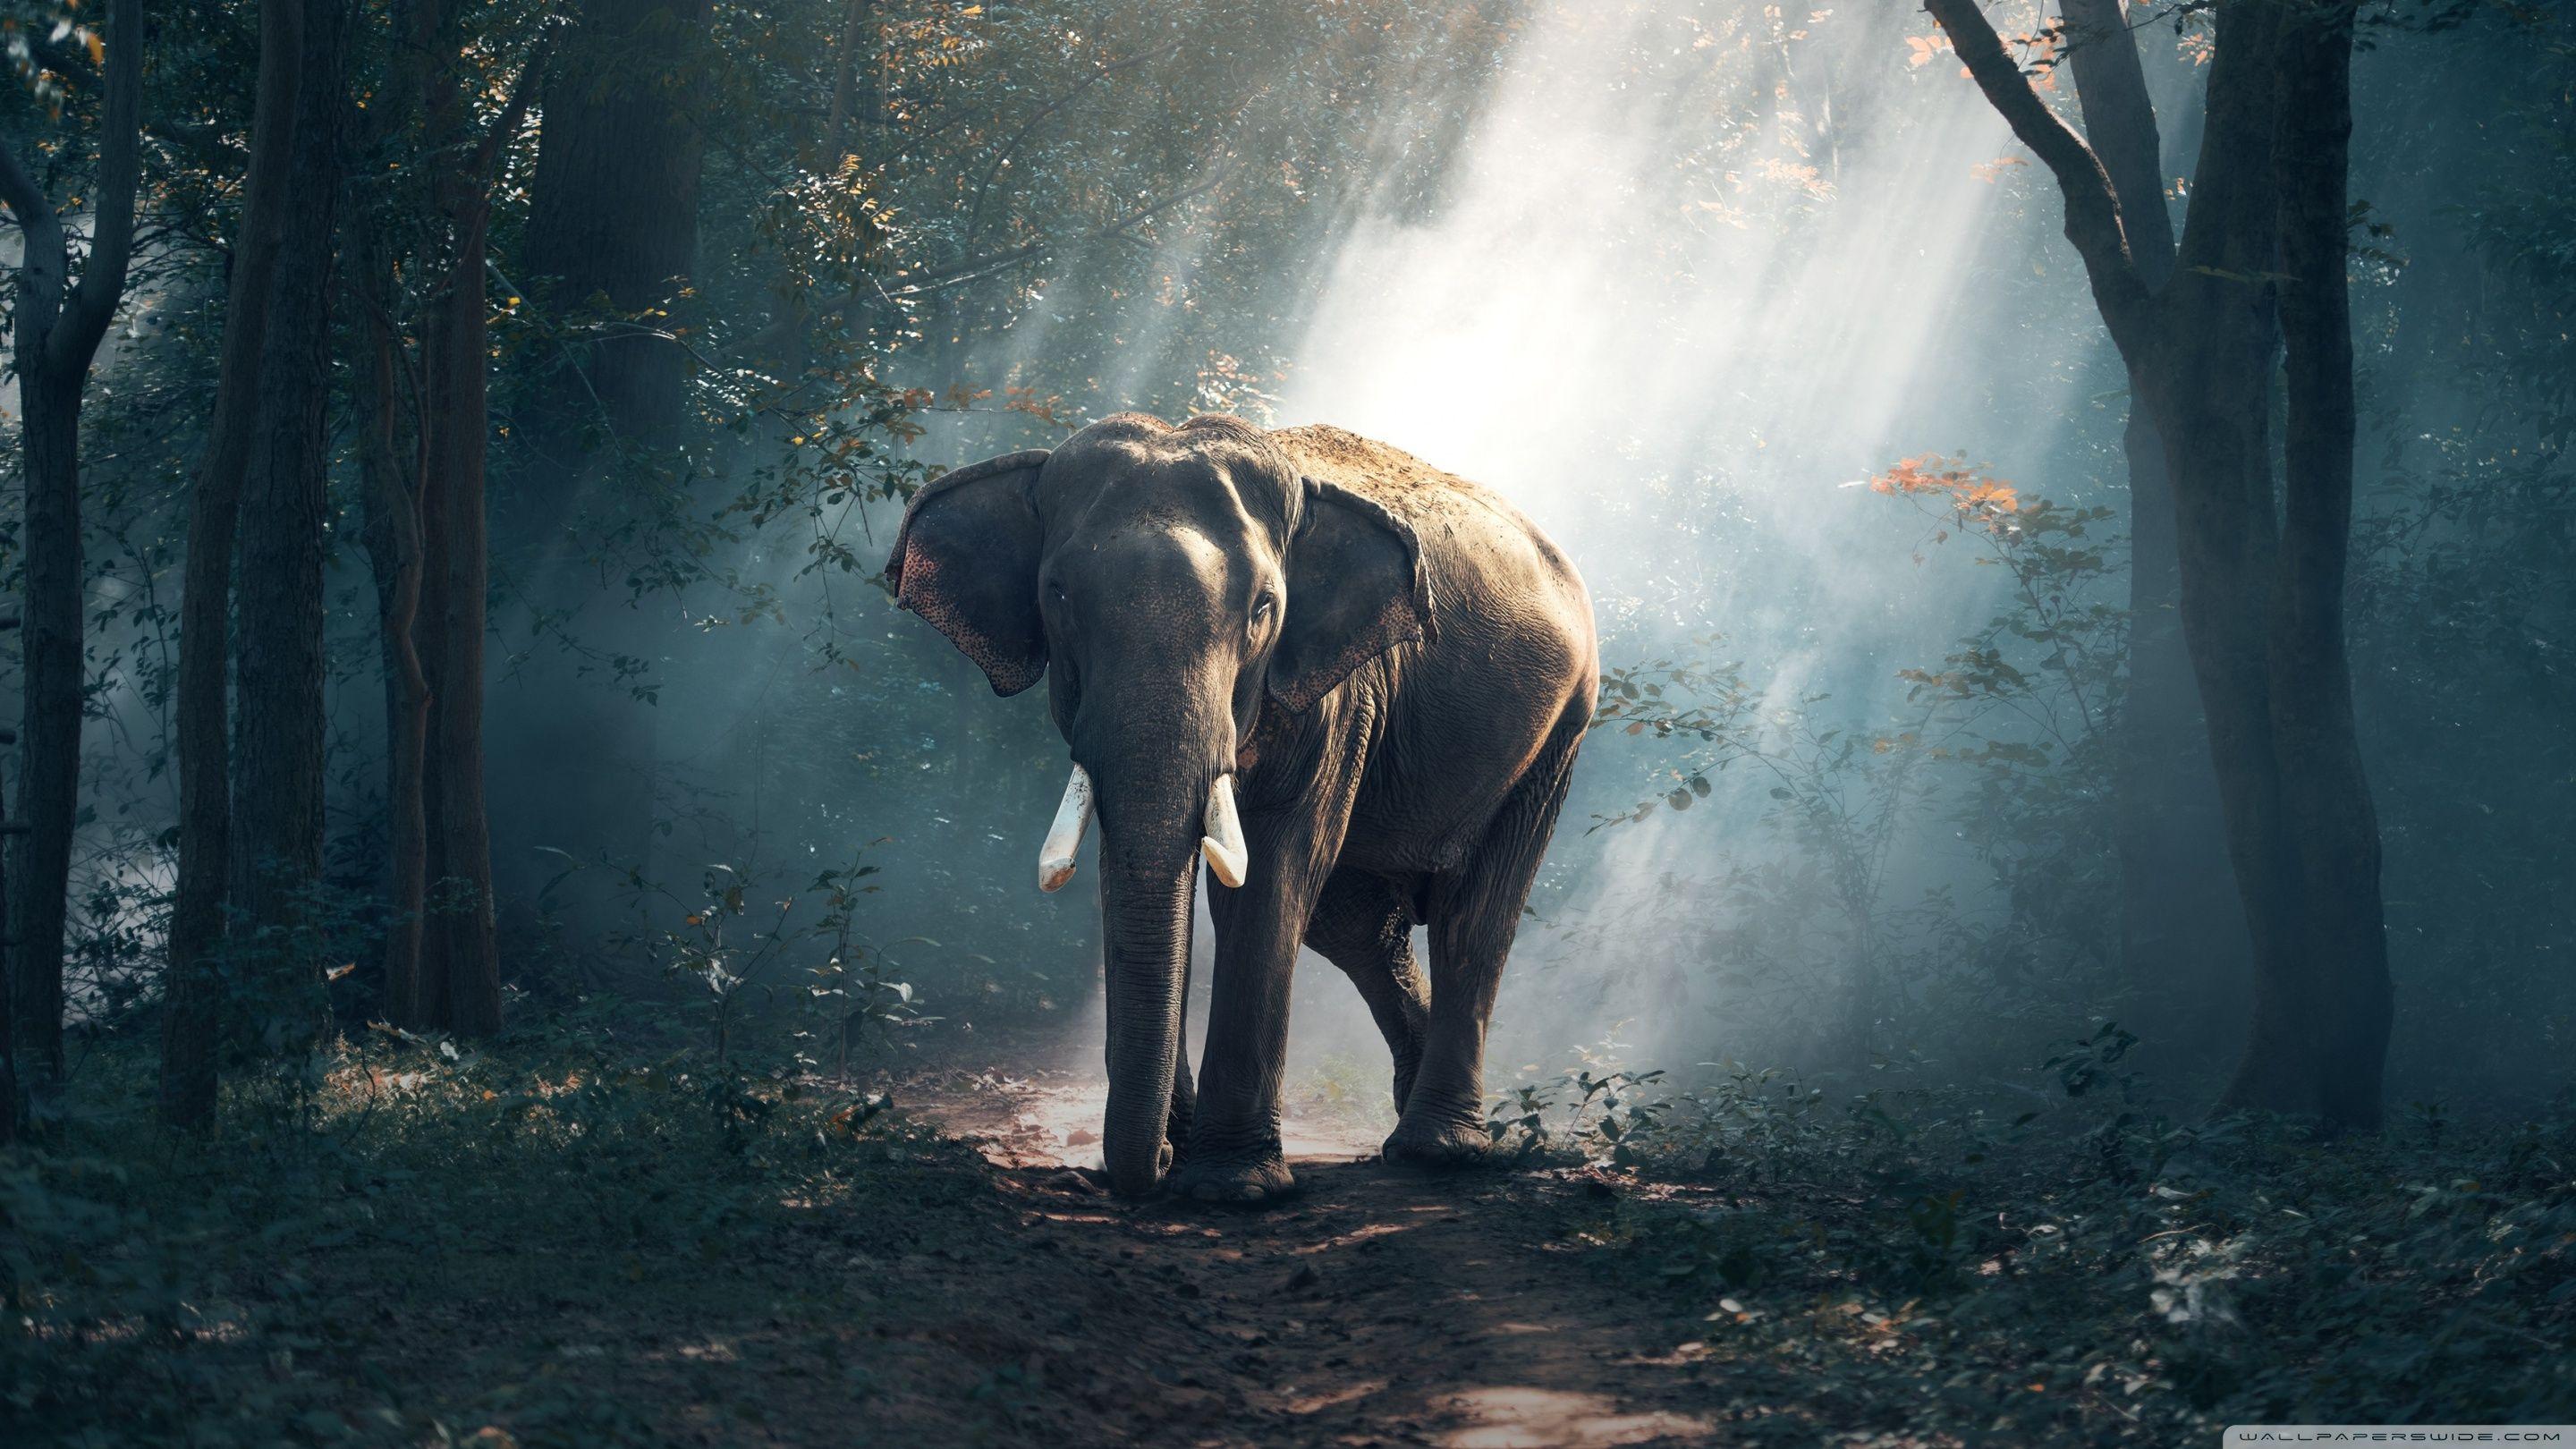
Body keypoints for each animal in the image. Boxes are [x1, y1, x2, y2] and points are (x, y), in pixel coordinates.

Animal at [887, 412, 1597, 1202]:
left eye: (1263, 609)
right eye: (1058, 595)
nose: (1153, 1166)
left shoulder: (1338, 694)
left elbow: (1272, 874)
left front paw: (1233, 1187)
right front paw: (1184, 1151)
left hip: (1559, 733)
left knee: (1473, 919)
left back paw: (1437, 1150)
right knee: (1357, 925)